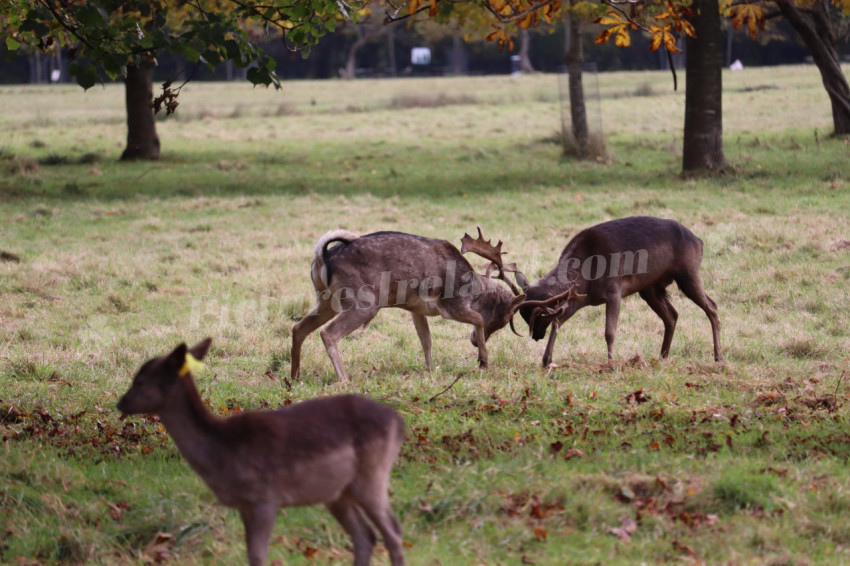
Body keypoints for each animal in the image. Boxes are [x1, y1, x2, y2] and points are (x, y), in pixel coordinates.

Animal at [117, 340, 406, 564]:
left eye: (140, 380)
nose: (121, 402)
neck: (222, 451)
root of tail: (398, 421)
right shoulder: (246, 505)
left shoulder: (265, 498)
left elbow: (258, 556)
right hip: (338, 493)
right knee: (366, 535)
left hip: (372, 475)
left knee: (393, 531)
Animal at [290, 229, 524, 384]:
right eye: (504, 319)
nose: (474, 342)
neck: (473, 289)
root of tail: (322, 257)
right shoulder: (452, 305)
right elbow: (479, 319)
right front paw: (484, 361)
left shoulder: (416, 310)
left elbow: (426, 340)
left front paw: (431, 370)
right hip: (364, 302)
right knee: (328, 333)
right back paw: (345, 380)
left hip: (326, 299)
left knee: (298, 328)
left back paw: (294, 376)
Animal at [510, 217, 724, 368]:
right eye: (525, 316)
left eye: (539, 316)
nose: (535, 336)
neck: (587, 277)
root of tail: (699, 241)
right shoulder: (573, 302)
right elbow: (558, 324)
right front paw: (546, 360)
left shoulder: (614, 291)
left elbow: (609, 332)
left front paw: (611, 364)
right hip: (650, 288)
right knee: (672, 315)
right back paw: (662, 357)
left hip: (688, 273)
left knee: (712, 306)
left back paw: (718, 357)